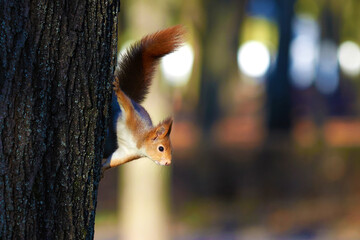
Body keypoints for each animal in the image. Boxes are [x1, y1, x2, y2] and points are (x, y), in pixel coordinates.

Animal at [102, 25, 184, 173]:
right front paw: (117, 88)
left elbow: (114, 160)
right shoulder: (132, 119)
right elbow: (126, 104)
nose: (168, 162)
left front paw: (101, 170)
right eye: (161, 148)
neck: (139, 143)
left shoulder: (127, 152)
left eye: (172, 150)